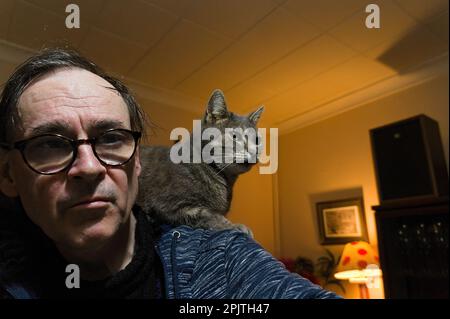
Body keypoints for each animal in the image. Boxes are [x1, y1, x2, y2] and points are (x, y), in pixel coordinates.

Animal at [137, 90, 264, 235]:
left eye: (257, 140)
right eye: (234, 136)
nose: (254, 152)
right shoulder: (170, 204)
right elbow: (210, 215)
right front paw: (236, 226)